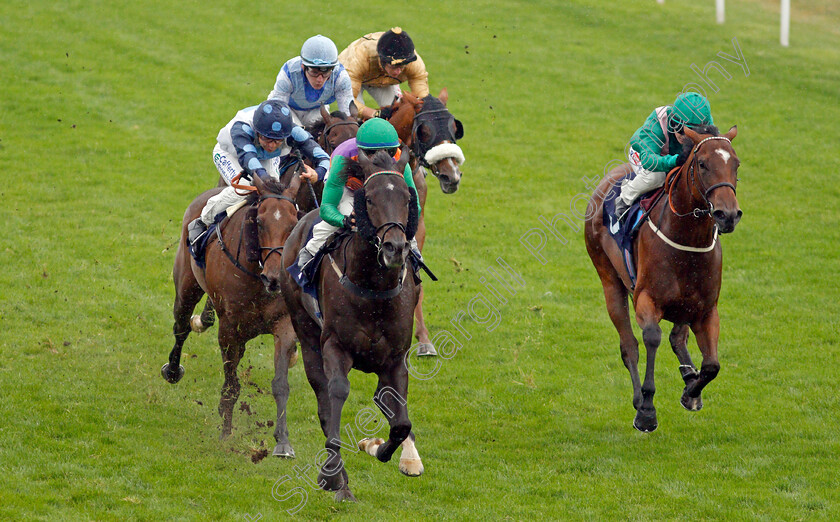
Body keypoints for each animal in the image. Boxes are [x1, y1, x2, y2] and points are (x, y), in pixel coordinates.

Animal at [161, 173, 302, 452]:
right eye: (259, 222)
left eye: (293, 223)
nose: (274, 279)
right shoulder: (228, 327)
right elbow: (232, 385)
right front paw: (226, 434)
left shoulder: (284, 324)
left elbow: (281, 384)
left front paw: (283, 443)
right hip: (186, 286)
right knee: (181, 327)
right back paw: (172, 370)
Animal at [584, 124, 740, 428]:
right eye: (702, 164)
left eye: (736, 164)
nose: (728, 215)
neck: (687, 239)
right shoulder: (646, 299)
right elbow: (651, 337)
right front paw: (646, 409)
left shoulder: (706, 310)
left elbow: (712, 365)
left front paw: (691, 392)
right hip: (609, 281)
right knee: (629, 345)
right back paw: (638, 399)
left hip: (684, 305)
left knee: (678, 337)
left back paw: (689, 376)